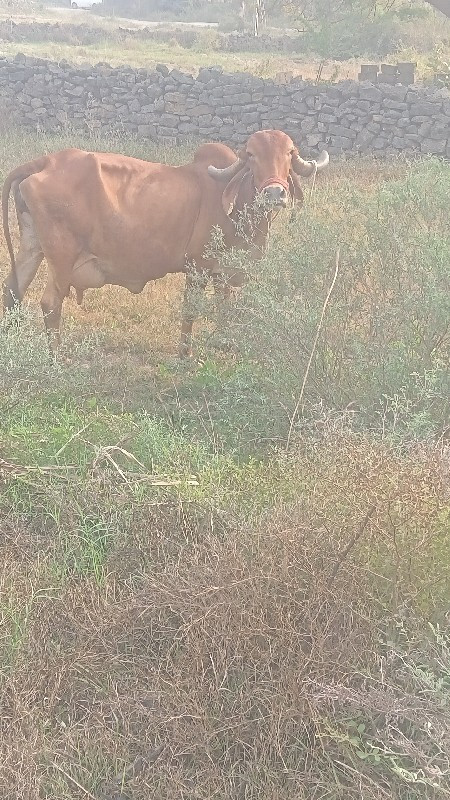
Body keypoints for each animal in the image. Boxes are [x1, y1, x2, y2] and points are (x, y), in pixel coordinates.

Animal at [1, 130, 328, 354]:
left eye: (289, 153)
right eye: (251, 155)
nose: (275, 193)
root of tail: (45, 161)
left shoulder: (223, 272)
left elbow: (225, 309)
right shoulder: (198, 267)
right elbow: (190, 310)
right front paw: (185, 355)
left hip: (32, 246)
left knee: (13, 290)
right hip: (62, 256)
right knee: (50, 303)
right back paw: (56, 357)